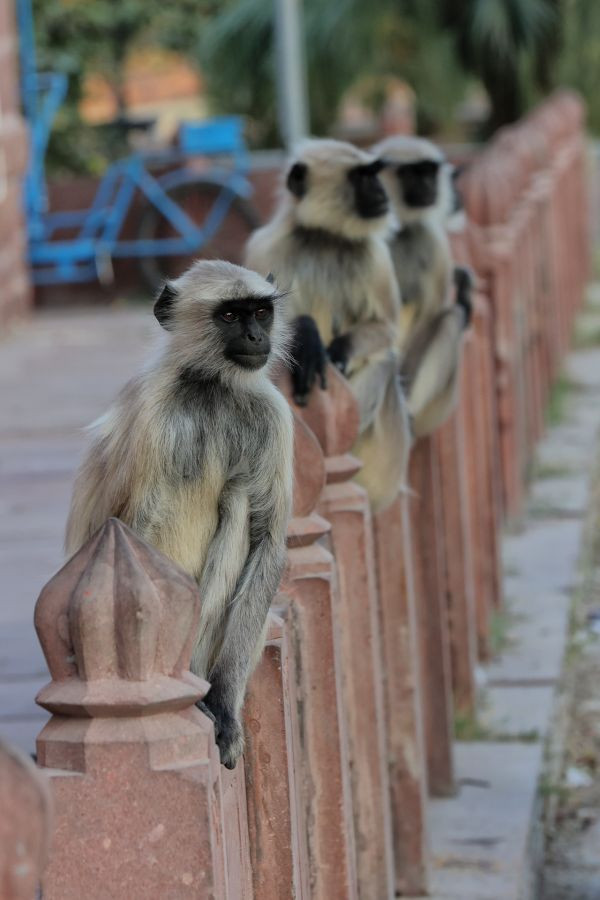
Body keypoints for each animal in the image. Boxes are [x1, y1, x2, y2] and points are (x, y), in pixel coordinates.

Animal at [64, 260, 294, 768]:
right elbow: (134, 527)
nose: (256, 337)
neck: (212, 387)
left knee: (236, 493)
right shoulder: (154, 413)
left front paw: (224, 704)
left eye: (260, 312)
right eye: (228, 315)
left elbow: (268, 539)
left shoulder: (272, 413)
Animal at [243, 137, 408, 510]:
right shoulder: (267, 247)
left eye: (375, 174)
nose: (382, 192)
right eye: (363, 176)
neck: (323, 237)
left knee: (385, 360)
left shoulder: (374, 255)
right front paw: (307, 335)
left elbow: (386, 329)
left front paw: (336, 351)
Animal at [376, 134, 474, 440]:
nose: (429, 186)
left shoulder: (431, 237)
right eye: (411, 173)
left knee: (451, 318)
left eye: (429, 172)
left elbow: (434, 313)